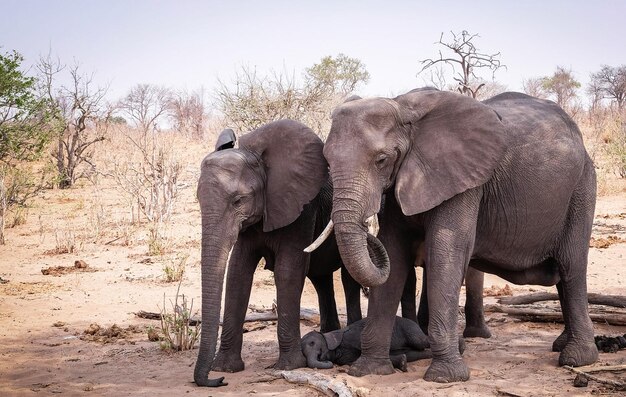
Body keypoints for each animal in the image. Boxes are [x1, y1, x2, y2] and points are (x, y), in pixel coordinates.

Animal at [194, 120, 360, 386]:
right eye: (198, 199)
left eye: (238, 200)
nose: (217, 381)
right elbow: (238, 272)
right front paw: (226, 368)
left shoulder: (302, 207)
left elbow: (287, 271)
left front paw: (290, 366)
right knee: (320, 278)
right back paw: (327, 335)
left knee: (348, 276)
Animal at [300, 316, 456, 372]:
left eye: (312, 343)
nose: (325, 360)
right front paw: (402, 363)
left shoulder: (354, 337)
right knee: (415, 352)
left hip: (409, 328)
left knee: (421, 342)